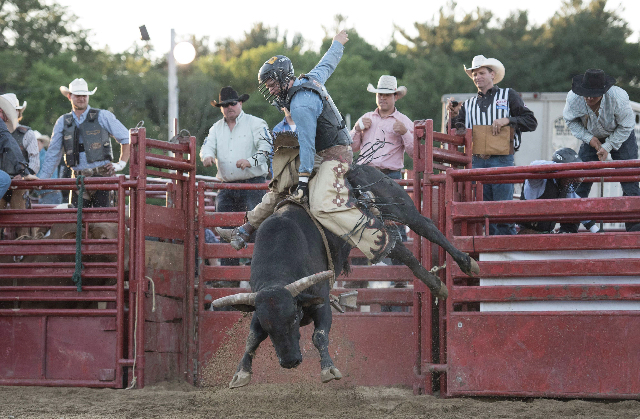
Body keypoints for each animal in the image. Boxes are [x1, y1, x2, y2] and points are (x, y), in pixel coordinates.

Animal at [212, 166, 478, 388]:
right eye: (269, 326)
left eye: (294, 317)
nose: (290, 362)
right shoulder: (260, 305)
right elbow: (252, 338)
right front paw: (241, 372)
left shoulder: (321, 301)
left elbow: (319, 336)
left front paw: (329, 370)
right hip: (375, 232)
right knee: (403, 253)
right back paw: (437, 285)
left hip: (399, 207)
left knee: (427, 227)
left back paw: (467, 263)